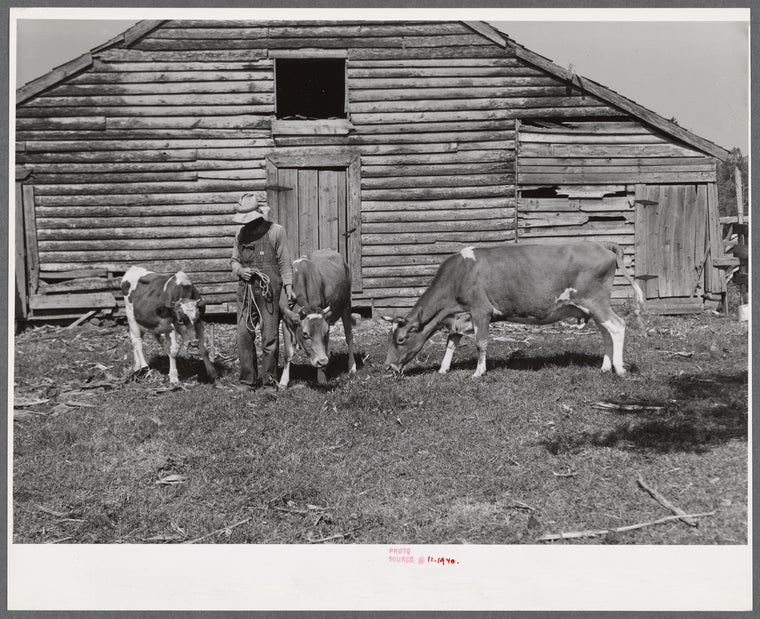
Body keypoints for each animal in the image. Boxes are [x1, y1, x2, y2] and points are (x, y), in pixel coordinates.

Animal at [278, 249, 357, 388]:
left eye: (324, 332)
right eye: (305, 333)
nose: (323, 361)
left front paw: (321, 377)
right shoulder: (286, 321)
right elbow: (288, 353)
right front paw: (283, 382)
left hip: (346, 305)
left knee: (349, 337)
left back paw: (352, 367)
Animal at [383, 242, 644, 378]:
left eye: (401, 339)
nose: (388, 366)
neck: (458, 275)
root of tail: (600, 245)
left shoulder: (480, 311)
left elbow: (480, 343)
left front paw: (478, 372)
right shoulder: (460, 316)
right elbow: (451, 342)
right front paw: (443, 369)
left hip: (595, 302)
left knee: (618, 326)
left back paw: (619, 368)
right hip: (593, 307)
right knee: (606, 333)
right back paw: (605, 366)